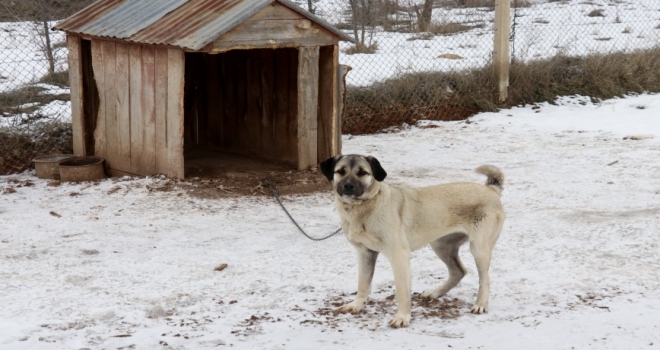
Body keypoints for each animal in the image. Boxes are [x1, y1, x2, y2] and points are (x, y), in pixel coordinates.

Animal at [320, 154, 506, 326]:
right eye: (341, 171)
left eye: (362, 173)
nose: (348, 186)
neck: (364, 208)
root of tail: (491, 189)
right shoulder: (365, 253)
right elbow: (363, 284)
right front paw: (357, 305)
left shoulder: (399, 255)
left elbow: (402, 291)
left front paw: (403, 317)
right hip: (440, 246)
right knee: (458, 271)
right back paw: (435, 293)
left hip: (478, 248)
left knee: (485, 279)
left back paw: (480, 305)